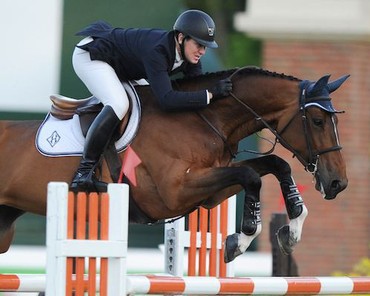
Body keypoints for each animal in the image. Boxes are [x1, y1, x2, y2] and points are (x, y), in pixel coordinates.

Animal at [0, 67, 350, 264]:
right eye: (318, 121)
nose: (338, 183)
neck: (203, 117)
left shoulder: (209, 194)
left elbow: (274, 165)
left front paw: (293, 228)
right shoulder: (174, 194)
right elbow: (251, 174)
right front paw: (240, 241)